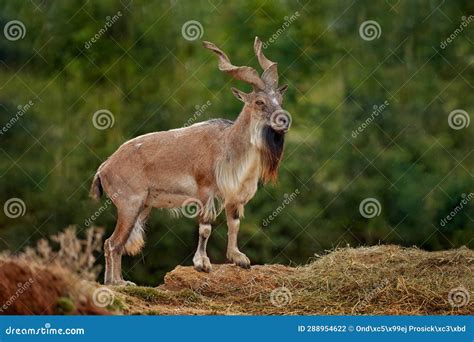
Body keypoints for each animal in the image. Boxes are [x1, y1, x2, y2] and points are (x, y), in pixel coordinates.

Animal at [90, 36, 290, 286]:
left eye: (280, 98)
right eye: (260, 102)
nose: (284, 120)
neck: (228, 145)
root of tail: (103, 168)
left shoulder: (234, 196)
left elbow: (234, 224)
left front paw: (239, 259)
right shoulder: (205, 191)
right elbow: (205, 227)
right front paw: (202, 263)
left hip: (142, 206)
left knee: (114, 243)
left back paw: (115, 282)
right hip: (129, 204)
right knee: (113, 243)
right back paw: (117, 283)